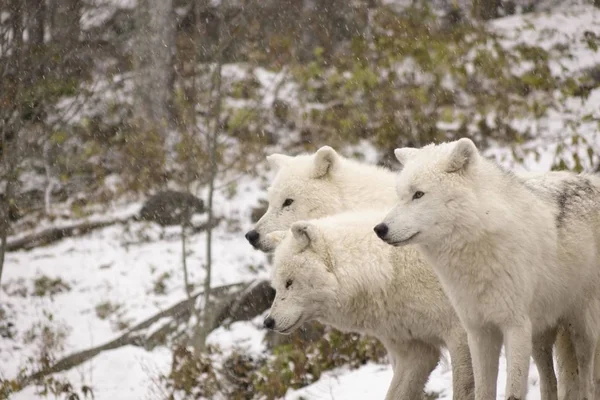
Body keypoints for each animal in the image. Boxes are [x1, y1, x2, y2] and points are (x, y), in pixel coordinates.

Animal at [262, 211, 474, 398]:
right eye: (276, 286)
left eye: (289, 282)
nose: (268, 322)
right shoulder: (415, 351)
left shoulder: (461, 334)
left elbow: (463, 389)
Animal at [376, 138, 600, 400]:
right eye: (400, 196)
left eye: (418, 194)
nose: (379, 229)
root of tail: (590, 179)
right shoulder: (479, 331)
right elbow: (483, 389)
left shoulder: (515, 327)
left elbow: (513, 391)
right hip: (541, 336)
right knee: (549, 382)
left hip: (582, 329)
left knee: (589, 380)